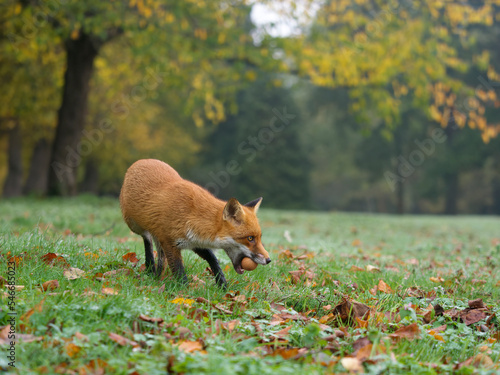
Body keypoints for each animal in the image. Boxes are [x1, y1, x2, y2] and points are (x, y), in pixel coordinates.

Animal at [119, 159, 272, 288]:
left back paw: (156, 276)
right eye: (250, 238)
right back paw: (150, 267)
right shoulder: (169, 243)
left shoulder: (193, 240)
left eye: (259, 237)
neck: (191, 215)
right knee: (147, 239)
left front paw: (223, 286)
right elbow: (179, 271)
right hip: (134, 225)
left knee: (160, 255)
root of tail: (142, 161)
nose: (269, 260)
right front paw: (184, 292)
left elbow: (212, 258)